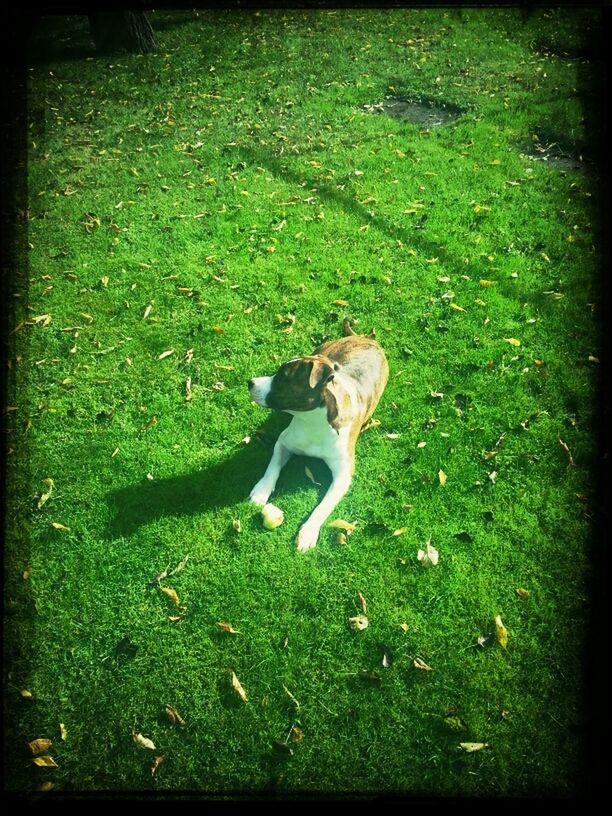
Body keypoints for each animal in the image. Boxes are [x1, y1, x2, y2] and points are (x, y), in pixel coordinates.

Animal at [247, 322, 388, 552]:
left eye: (283, 377)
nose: (250, 382)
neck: (312, 421)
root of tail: (365, 338)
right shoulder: (283, 442)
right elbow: (272, 467)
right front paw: (261, 491)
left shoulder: (342, 477)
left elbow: (323, 507)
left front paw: (308, 532)